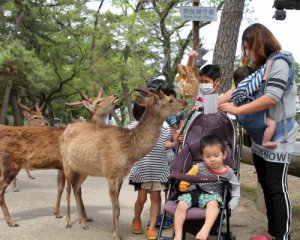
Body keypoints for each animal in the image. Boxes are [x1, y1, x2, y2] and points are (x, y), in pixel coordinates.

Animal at [0, 89, 119, 227]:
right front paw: (82, 219)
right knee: (1, 189)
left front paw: (58, 213)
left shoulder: (61, 167)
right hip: (11, 164)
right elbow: (76, 190)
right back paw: (11, 221)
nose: (115, 95)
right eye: (98, 102)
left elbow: (62, 188)